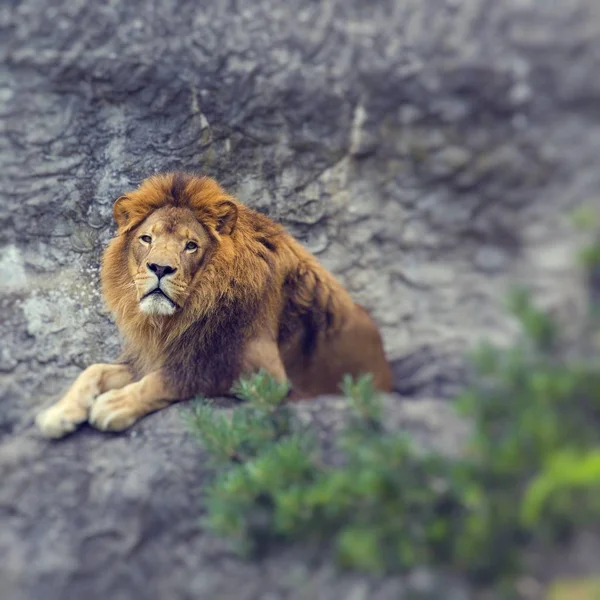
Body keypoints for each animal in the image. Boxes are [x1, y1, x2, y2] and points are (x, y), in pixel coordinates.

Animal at [36, 171, 394, 438]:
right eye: (146, 239)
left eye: (191, 245)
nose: (160, 268)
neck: (180, 317)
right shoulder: (155, 352)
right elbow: (94, 369)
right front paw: (59, 413)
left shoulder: (266, 376)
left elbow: (179, 377)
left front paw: (115, 405)